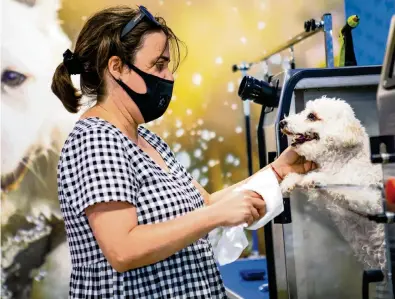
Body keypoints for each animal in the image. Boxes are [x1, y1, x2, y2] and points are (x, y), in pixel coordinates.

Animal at [282, 96, 386, 272]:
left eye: (311, 116)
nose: (282, 122)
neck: (344, 161)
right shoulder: (329, 203)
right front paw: (291, 180)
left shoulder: (370, 201)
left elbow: (339, 184)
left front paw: (317, 178)